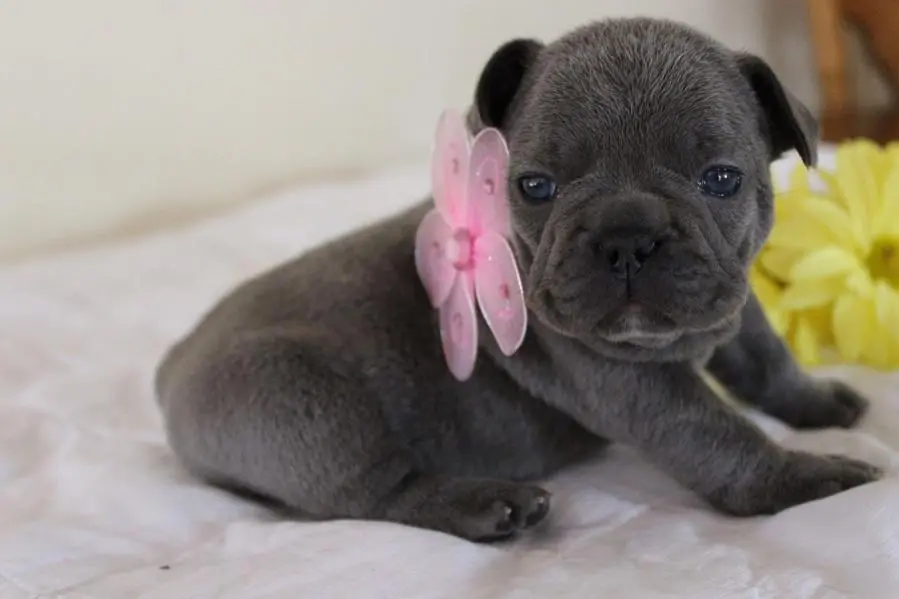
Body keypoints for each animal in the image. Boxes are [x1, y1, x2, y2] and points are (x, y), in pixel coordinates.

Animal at [154, 17, 881, 542]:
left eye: (721, 179)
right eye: (534, 186)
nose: (626, 236)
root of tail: (173, 363)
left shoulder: (731, 304)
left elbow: (767, 358)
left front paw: (816, 402)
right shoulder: (628, 379)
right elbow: (717, 433)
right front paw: (805, 477)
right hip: (304, 407)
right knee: (377, 490)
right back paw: (485, 503)